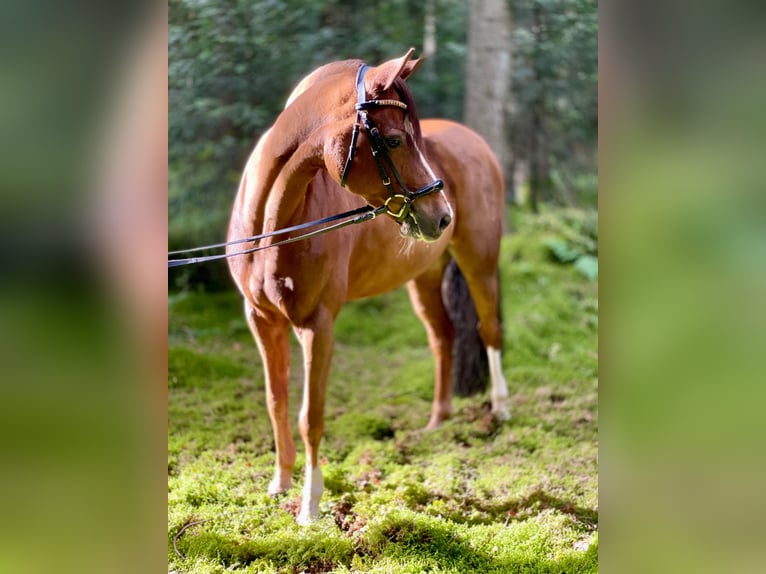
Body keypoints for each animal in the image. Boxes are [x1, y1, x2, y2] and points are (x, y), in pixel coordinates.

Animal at [226, 50, 510, 528]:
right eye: (394, 141)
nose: (441, 215)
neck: (273, 226)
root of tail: (475, 142)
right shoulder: (261, 319)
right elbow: (275, 399)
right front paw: (279, 482)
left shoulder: (317, 324)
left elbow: (311, 416)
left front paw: (309, 506)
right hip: (424, 275)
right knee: (443, 336)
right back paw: (437, 421)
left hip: (479, 257)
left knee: (489, 329)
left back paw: (502, 408)